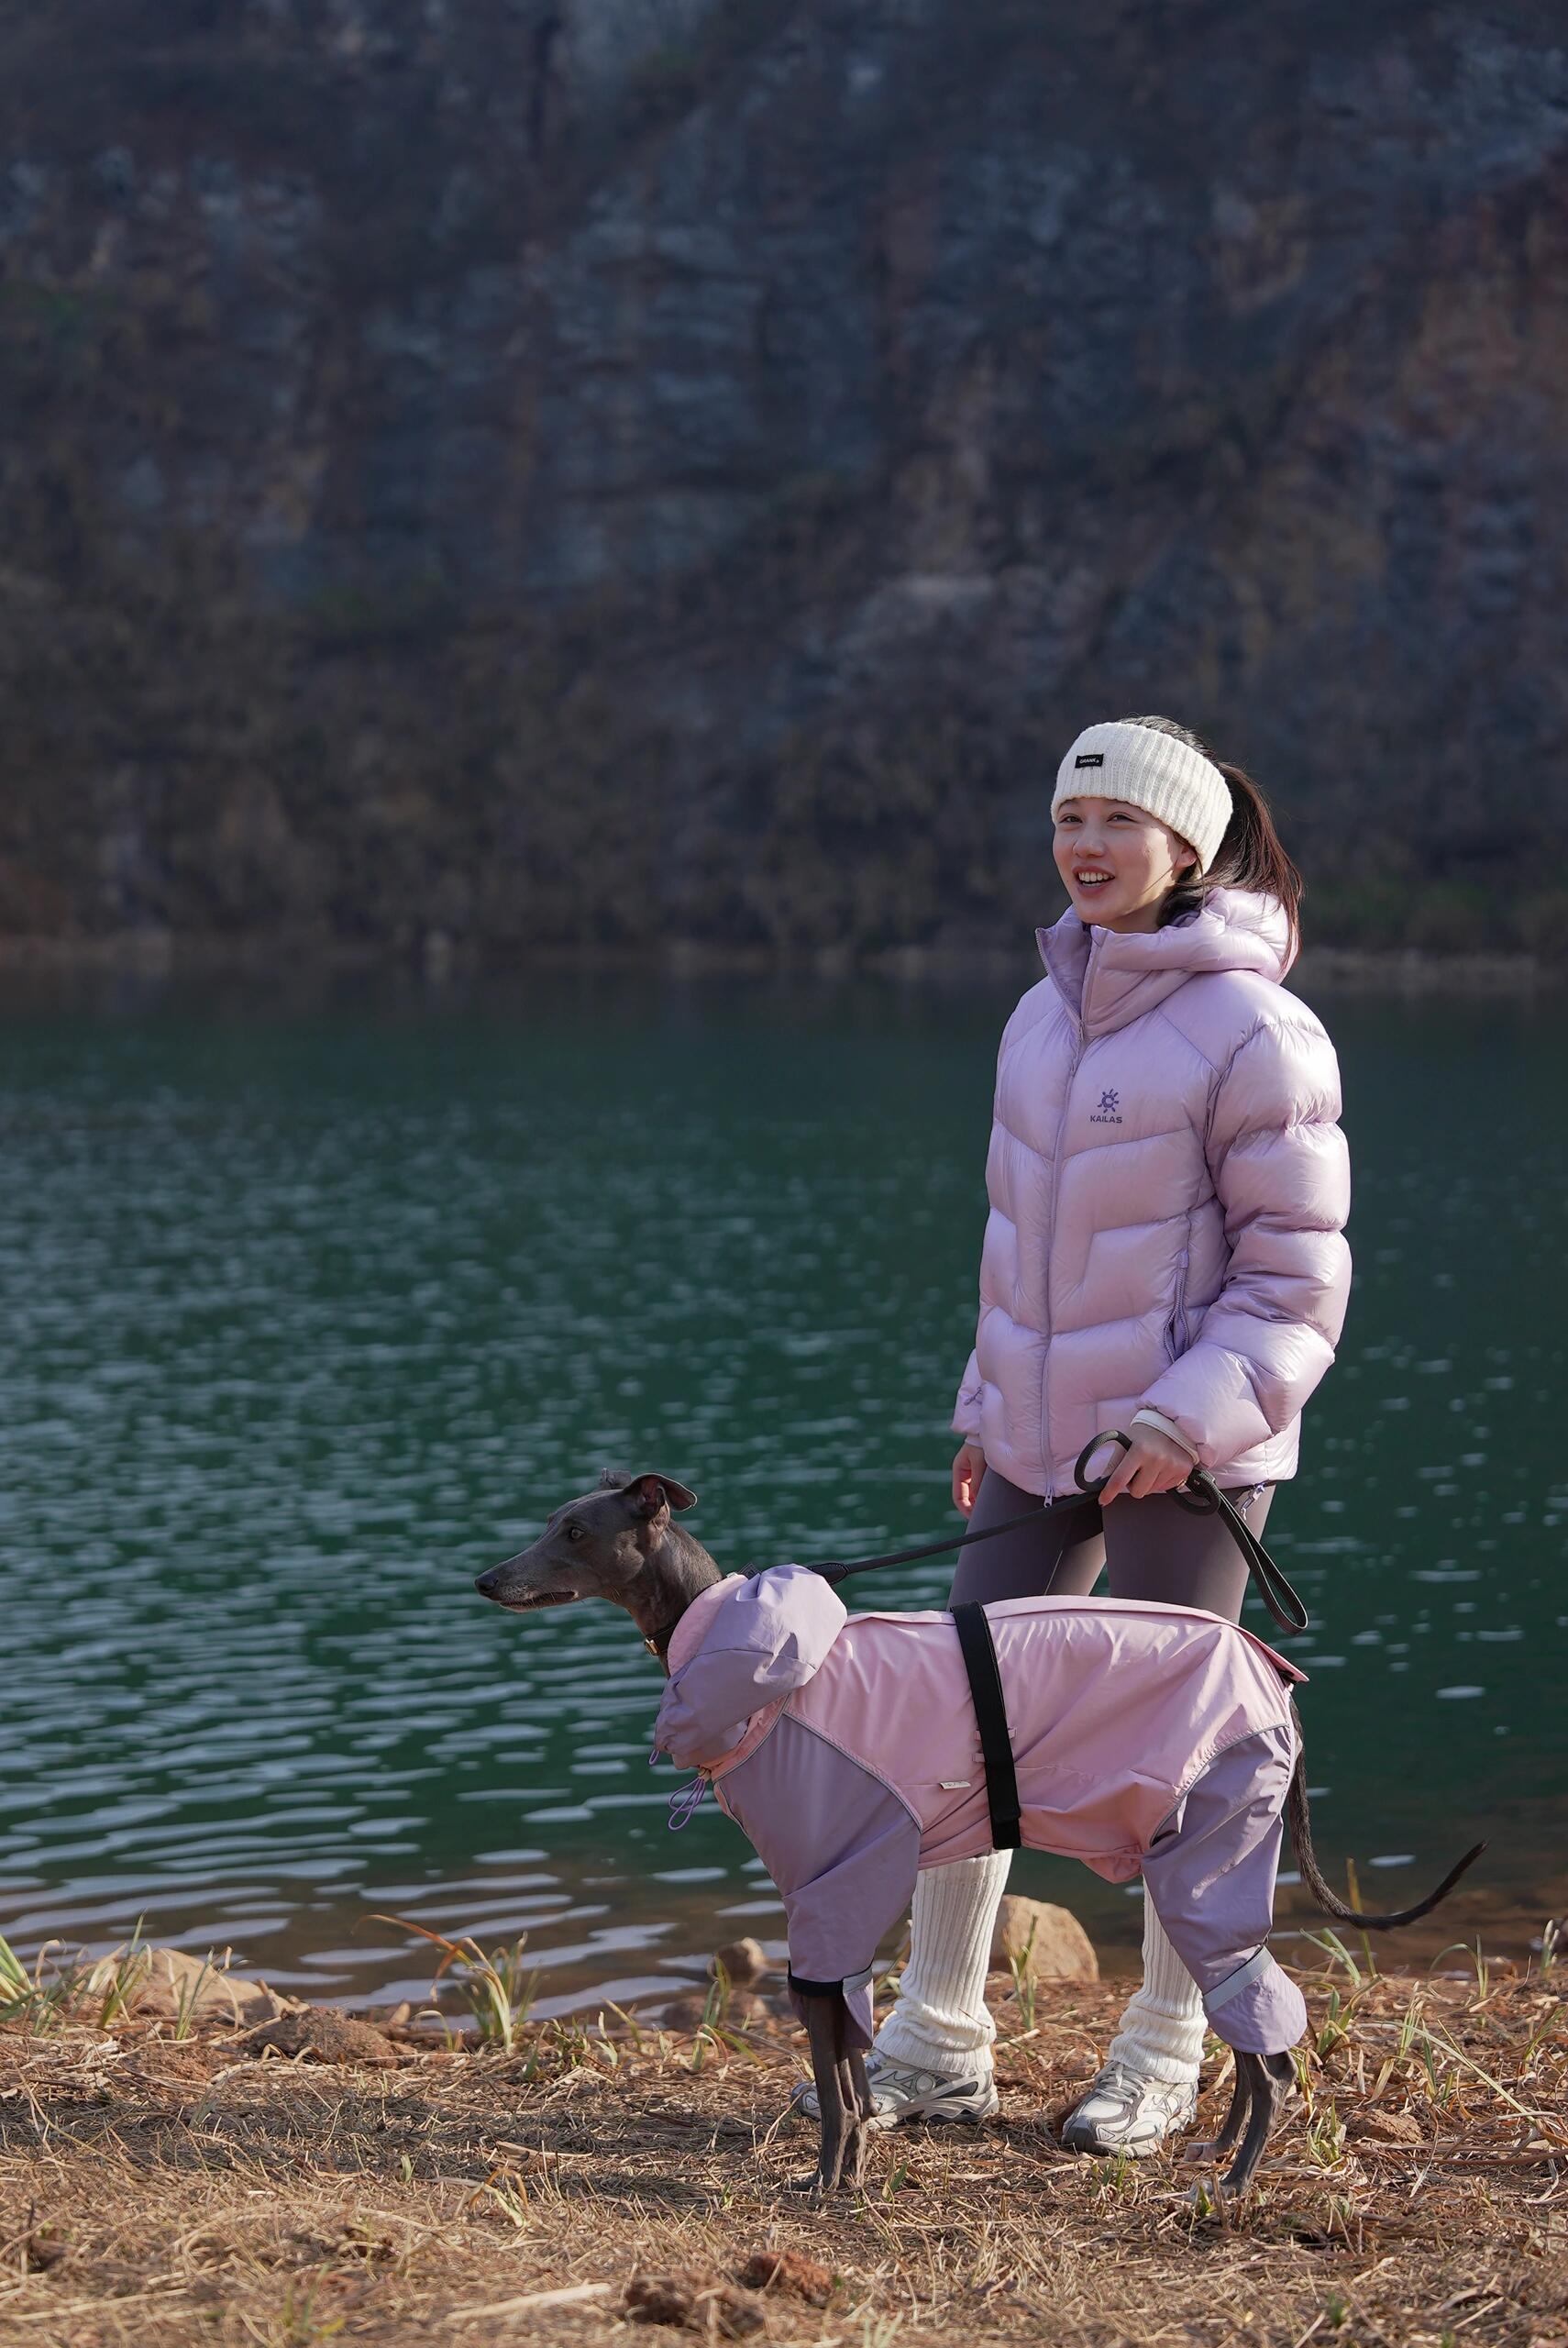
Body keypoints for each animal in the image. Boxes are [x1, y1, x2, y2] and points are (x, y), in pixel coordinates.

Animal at [475, 1470, 1482, 2201]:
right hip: (1202, 1862)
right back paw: (1217, 2154)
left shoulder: (830, 1892)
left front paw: (827, 2183)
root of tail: (1277, 1678)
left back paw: (1232, 2184)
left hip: (1207, 1859)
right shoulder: (841, 1902)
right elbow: (848, 2066)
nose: (484, 1578)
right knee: (1256, 2038)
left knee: (1266, 2049)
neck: (759, 1659)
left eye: (575, 1531)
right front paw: (849, 2168)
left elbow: (834, 2082)